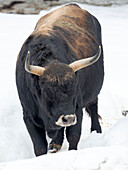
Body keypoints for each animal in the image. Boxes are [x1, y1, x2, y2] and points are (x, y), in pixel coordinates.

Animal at [15, 3, 104, 156]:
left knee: (93, 107)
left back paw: (96, 131)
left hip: (93, 93)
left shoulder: (77, 109)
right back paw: (55, 144)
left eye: (75, 89)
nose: (68, 118)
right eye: (48, 91)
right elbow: (39, 147)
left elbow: (73, 136)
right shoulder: (28, 115)